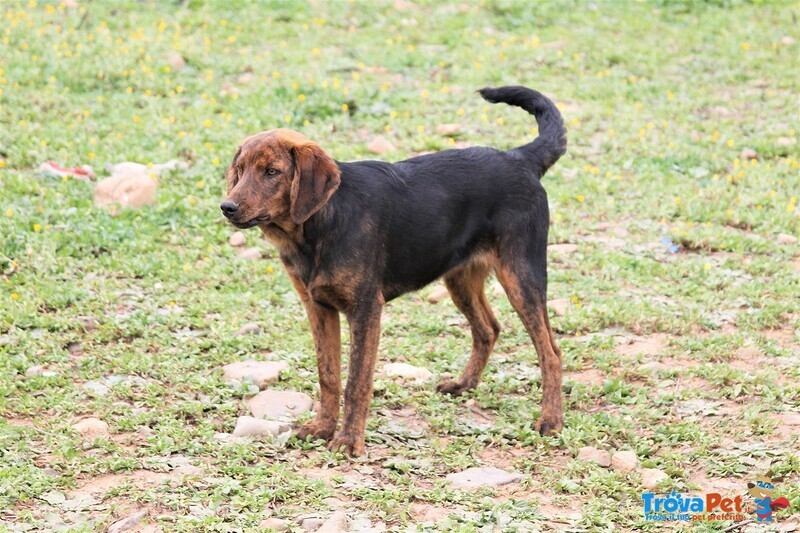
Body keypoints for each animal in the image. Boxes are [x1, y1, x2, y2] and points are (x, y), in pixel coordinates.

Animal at [222, 86, 564, 454]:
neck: (320, 224)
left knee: (551, 352)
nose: (227, 207)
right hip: (460, 278)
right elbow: (328, 375)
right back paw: (464, 384)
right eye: (240, 170)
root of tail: (521, 158)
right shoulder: (319, 308)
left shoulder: (366, 309)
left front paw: (348, 440)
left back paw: (551, 420)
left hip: (521, 276)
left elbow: (356, 381)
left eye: (272, 172)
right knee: (488, 328)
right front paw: (322, 428)